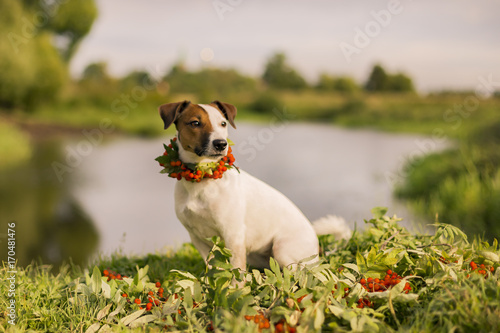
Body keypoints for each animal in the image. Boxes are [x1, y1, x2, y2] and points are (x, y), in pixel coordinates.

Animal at [158, 100, 350, 270]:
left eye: (223, 123)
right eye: (195, 123)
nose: (221, 144)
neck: (204, 177)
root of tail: (318, 249)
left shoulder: (233, 236)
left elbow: (237, 273)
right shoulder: (198, 239)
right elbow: (214, 270)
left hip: (282, 249)